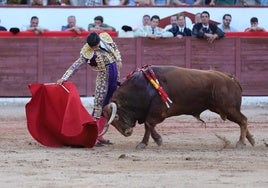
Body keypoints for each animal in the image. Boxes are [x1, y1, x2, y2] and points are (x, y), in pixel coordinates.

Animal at [103, 65, 255, 149]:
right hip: (224, 109)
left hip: (228, 108)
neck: (143, 87)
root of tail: (230, 78)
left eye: (117, 116)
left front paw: (153, 141)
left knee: (243, 120)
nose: (127, 132)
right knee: (242, 121)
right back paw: (251, 140)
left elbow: (148, 124)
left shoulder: (158, 111)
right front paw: (149, 142)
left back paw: (240, 143)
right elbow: (148, 126)